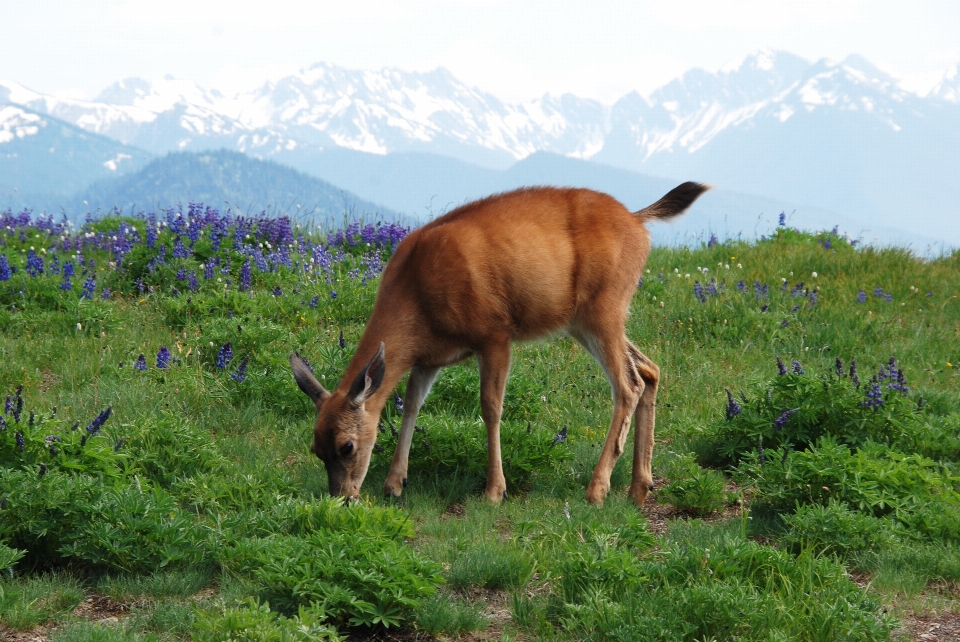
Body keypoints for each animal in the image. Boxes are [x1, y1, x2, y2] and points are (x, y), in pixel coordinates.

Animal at [288, 180, 708, 504]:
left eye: (346, 446)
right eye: (315, 448)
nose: (342, 497)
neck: (417, 297)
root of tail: (638, 220)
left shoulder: (494, 334)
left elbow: (491, 408)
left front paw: (494, 491)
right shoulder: (428, 357)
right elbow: (411, 406)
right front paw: (394, 483)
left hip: (605, 309)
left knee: (628, 383)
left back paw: (597, 489)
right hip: (584, 321)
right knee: (649, 369)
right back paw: (639, 488)